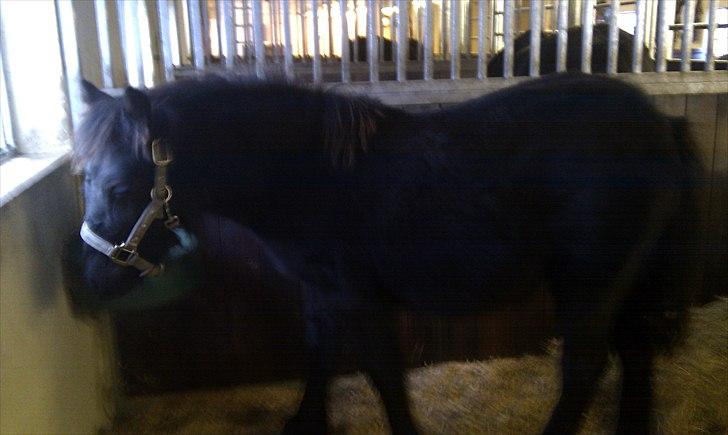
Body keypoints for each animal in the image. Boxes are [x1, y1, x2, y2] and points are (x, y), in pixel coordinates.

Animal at [73, 72, 699, 434]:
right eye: (83, 178)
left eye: (122, 189)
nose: (90, 284)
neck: (311, 177)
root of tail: (658, 122)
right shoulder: (320, 292)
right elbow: (318, 354)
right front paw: (304, 424)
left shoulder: (359, 297)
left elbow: (382, 372)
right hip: (629, 280)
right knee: (636, 352)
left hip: (590, 281)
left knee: (586, 364)